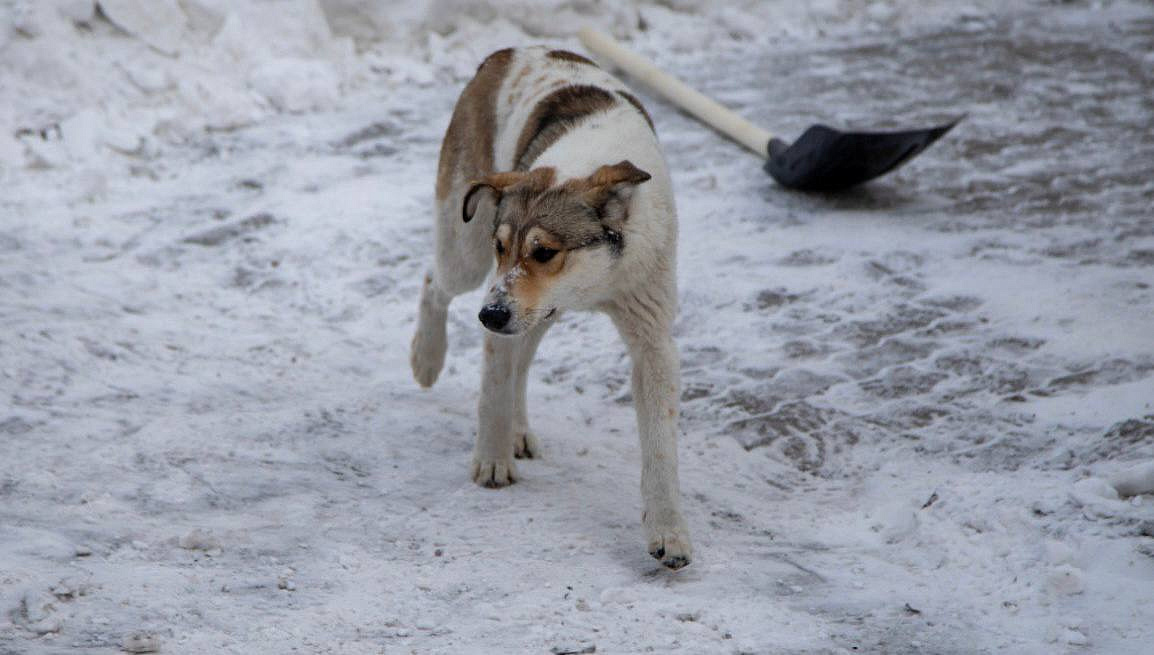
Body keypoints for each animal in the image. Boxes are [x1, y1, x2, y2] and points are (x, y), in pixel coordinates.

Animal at [410, 46, 687, 567]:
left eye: (544, 252)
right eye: (503, 246)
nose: (489, 316)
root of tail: (505, 52)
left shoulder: (652, 337)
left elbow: (661, 448)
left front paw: (669, 532)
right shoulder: (500, 292)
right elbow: (493, 390)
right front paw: (491, 461)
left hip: (531, 310)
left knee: (521, 355)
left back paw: (517, 428)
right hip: (465, 251)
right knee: (435, 280)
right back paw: (426, 359)